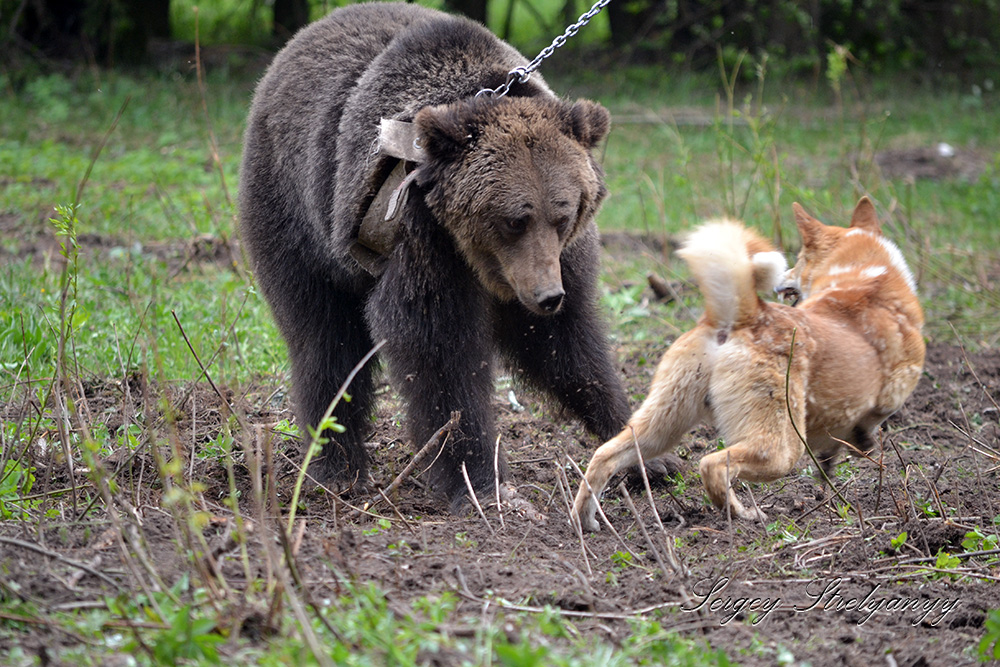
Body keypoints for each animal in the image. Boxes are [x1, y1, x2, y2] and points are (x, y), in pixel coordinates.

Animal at [236, 2, 624, 508]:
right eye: (513, 219)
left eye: (564, 213)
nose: (545, 295)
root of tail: (295, 43)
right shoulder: (420, 234)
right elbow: (437, 349)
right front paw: (479, 479)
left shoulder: (561, 260)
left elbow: (568, 345)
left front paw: (637, 447)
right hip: (294, 214)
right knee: (323, 340)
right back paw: (335, 465)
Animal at [576, 196, 924, 528]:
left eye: (798, 261)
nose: (784, 279)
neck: (867, 278)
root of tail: (744, 314)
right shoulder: (890, 394)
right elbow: (869, 420)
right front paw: (861, 443)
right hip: (781, 448)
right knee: (713, 465)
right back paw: (743, 515)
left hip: (661, 426)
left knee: (604, 456)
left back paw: (585, 520)